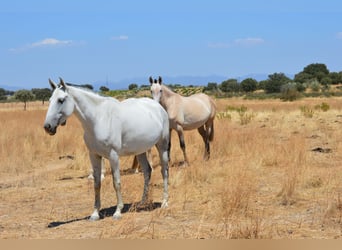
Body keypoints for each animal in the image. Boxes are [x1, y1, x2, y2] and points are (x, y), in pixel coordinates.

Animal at [44, 78, 170, 221]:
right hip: (141, 151)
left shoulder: (113, 155)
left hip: (162, 146)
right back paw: (142, 202)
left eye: (60, 100)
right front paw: (95, 214)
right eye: (50, 100)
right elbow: (97, 183)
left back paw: (164, 202)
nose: (47, 127)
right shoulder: (94, 155)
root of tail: (158, 107)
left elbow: (116, 182)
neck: (99, 118)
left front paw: (118, 211)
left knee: (164, 171)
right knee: (147, 171)